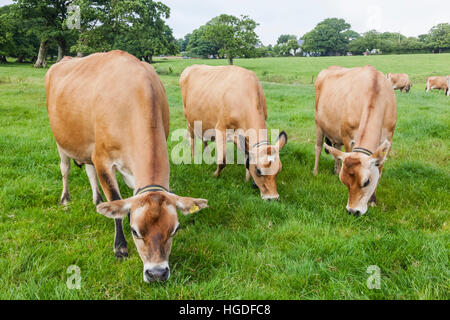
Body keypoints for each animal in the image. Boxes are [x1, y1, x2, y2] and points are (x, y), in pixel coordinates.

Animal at [45, 50, 207, 282]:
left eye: (174, 230)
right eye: (135, 231)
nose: (157, 273)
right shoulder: (102, 158)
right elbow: (116, 201)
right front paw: (120, 247)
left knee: (89, 170)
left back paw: (97, 199)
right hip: (61, 141)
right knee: (65, 168)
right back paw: (65, 199)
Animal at [180, 64, 288, 200]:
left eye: (279, 170)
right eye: (259, 171)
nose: (272, 198)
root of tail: (190, 67)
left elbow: (247, 157)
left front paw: (246, 179)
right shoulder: (220, 128)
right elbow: (222, 161)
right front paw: (215, 175)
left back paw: (206, 154)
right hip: (189, 119)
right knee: (192, 139)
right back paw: (194, 158)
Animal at [312, 64, 398, 215]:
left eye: (366, 182)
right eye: (344, 182)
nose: (352, 211)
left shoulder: (389, 138)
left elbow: (380, 169)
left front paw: (373, 200)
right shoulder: (348, 136)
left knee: (336, 148)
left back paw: (335, 169)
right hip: (318, 124)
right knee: (318, 148)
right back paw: (315, 172)